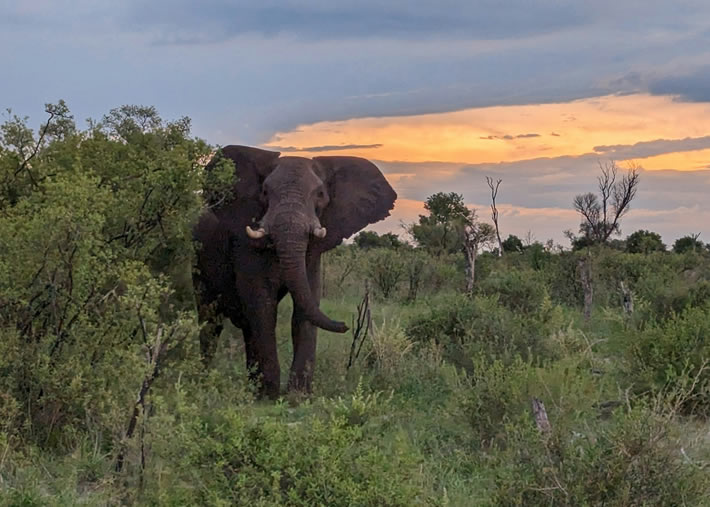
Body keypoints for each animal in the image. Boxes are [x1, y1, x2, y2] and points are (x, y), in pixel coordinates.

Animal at [192, 145, 398, 398]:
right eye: (264, 192)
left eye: (320, 194)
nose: (346, 325)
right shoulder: (243, 241)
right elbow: (262, 303)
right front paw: (270, 395)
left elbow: (305, 306)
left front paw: (297, 396)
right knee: (210, 321)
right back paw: (205, 381)